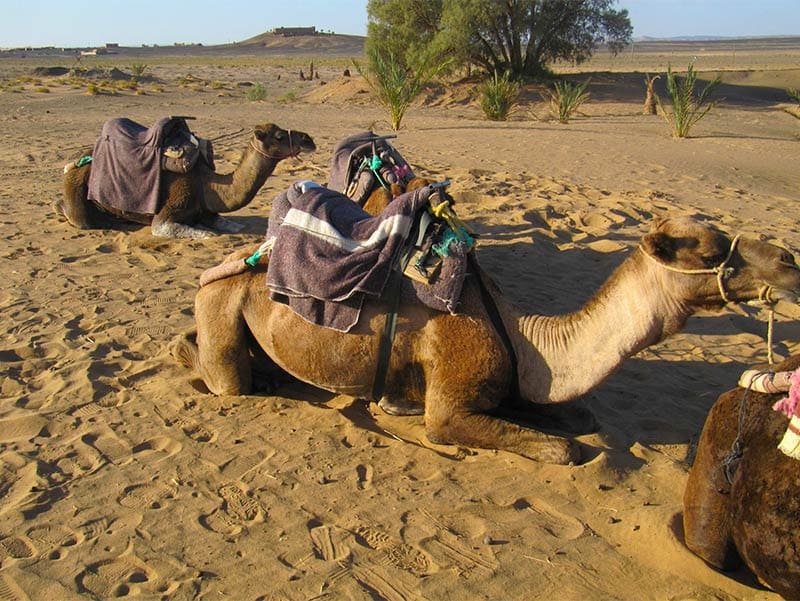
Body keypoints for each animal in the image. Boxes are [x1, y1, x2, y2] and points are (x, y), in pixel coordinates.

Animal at [57, 121, 316, 237]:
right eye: (279, 136)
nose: (308, 139)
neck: (205, 185)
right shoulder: (167, 213)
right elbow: (203, 233)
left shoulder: (209, 211)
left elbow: (231, 225)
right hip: (77, 188)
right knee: (76, 215)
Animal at [172, 213, 800, 462]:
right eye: (711, 250)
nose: (790, 260)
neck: (524, 338)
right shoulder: (450, 407)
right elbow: (565, 448)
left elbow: (581, 417)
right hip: (223, 309)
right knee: (215, 367)